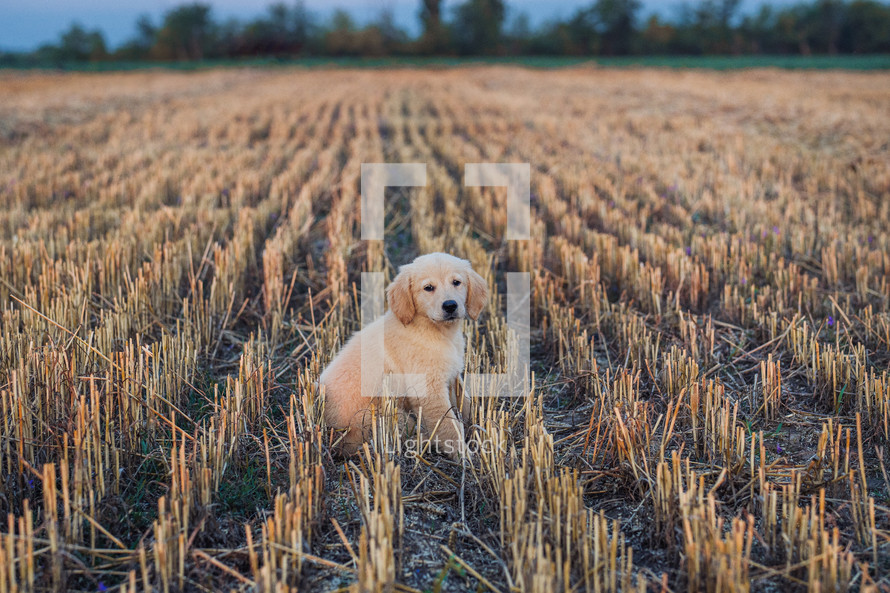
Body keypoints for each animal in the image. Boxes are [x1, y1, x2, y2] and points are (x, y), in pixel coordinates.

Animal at [318, 253, 486, 458]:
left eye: (457, 282)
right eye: (428, 288)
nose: (450, 306)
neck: (432, 329)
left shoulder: (452, 375)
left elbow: (466, 402)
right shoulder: (428, 389)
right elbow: (448, 425)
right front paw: (464, 456)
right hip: (384, 416)